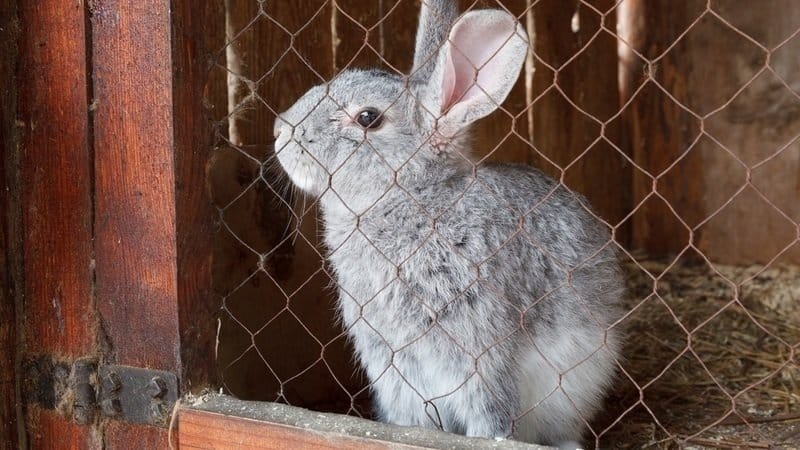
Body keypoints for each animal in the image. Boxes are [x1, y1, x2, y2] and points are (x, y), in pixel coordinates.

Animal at [272, 1, 623, 447]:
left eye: (368, 118)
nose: (280, 129)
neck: (415, 199)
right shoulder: (395, 368)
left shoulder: (483, 357)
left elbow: (491, 416)